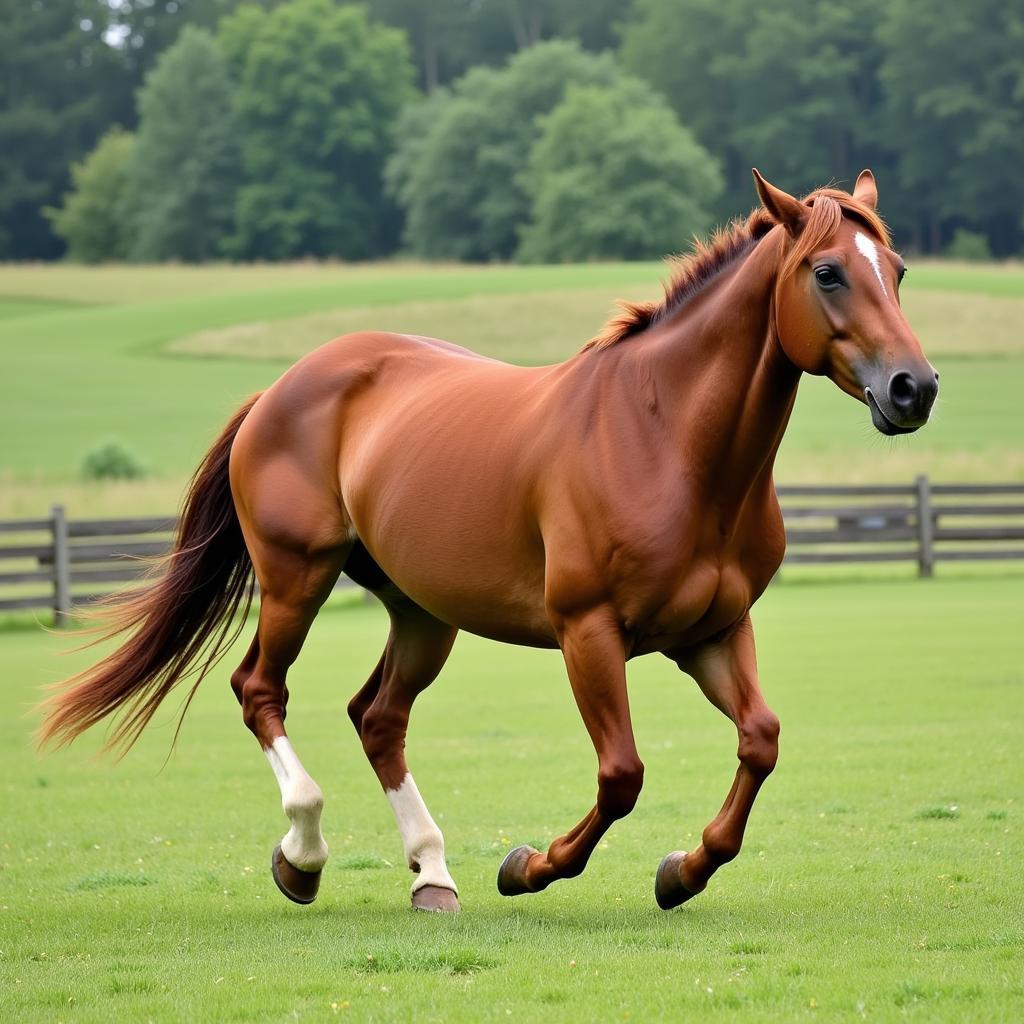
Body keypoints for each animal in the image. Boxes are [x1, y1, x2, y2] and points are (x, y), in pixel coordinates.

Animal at [39, 169, 937, 913]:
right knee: (261, 690)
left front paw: (682, 871)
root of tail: (284, 386)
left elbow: (761, 742)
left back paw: (431, 875)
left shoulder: (713, 633)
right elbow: (622, 775)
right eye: (828, 272)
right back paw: (304, 856)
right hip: (297, 578)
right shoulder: (589, 634)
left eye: (895, 271)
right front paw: (530, 866)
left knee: (378, 718)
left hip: (422, 613)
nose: (914, 388)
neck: (665, 439)